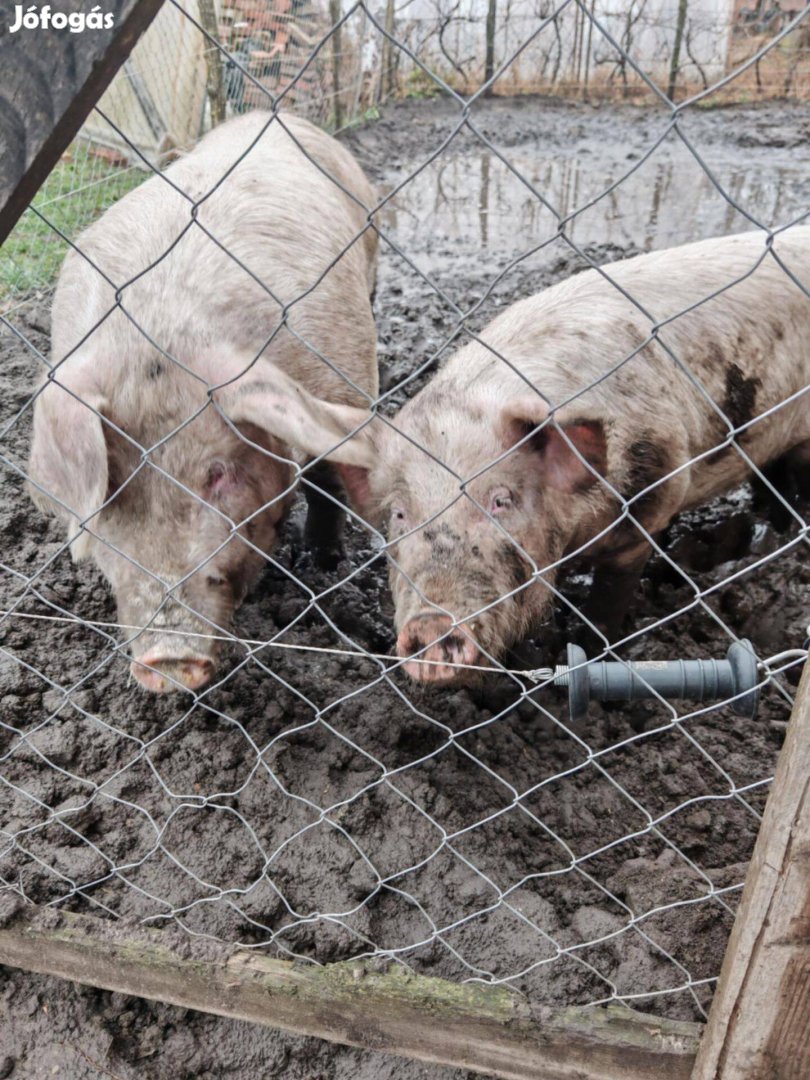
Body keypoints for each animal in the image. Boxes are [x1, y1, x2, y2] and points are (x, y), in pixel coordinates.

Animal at [27, 111, 378, 691]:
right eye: (110, 488)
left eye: (218, 473)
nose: (167, 658)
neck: (160, 334)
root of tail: (272, 114)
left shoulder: (342, 375)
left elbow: (328, 479)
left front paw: (322, 565)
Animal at [216, 227, 810, 682]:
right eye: (400, 516)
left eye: (501, 500)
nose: (430, 628)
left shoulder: (652, 494)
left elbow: (611, 596)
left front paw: (593, 650)